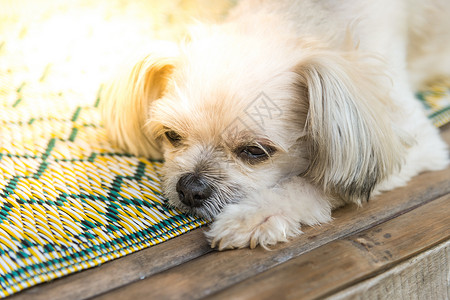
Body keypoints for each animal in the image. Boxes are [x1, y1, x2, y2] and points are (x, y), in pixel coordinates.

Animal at [102, 0, 450, 250]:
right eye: (172, 135)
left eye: (255, 151)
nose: (190, 188)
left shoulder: (410, 137)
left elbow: (318, 182)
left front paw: (257, 216)